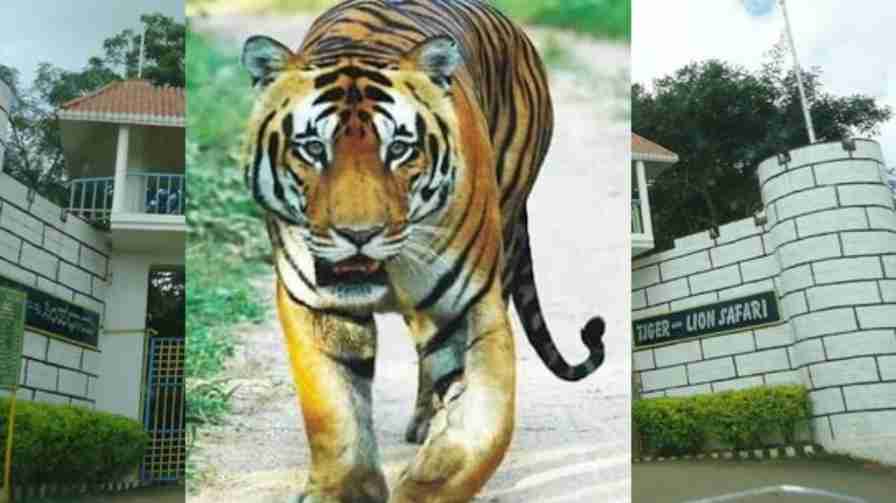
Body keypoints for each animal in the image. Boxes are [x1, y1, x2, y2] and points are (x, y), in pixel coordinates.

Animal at [240, 0, 606, 501]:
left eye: (399, 149)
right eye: (313, 148)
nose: (358, 233)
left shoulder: (471, 306)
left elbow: (482, 426)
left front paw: (430, 479)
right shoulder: (314, 305)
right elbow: (334, 411)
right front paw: (341, 487)